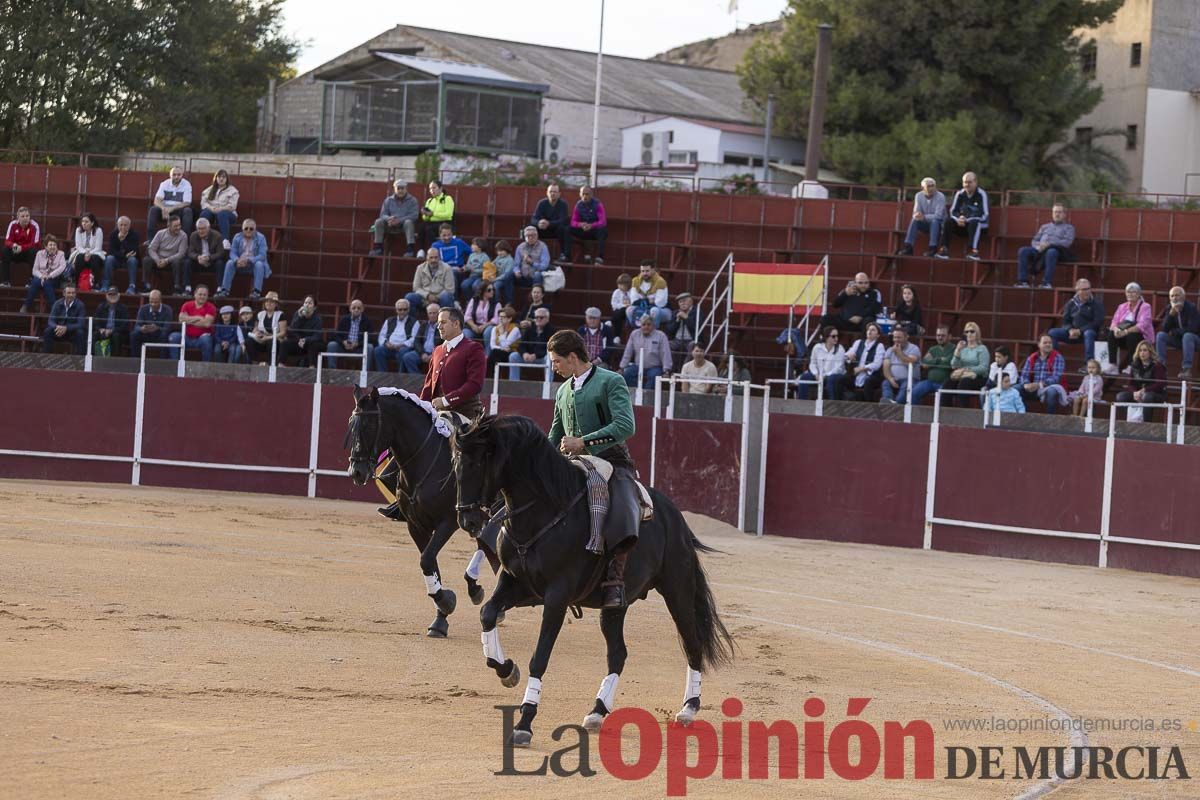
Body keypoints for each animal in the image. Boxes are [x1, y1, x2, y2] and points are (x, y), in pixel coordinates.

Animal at [345, 386, 499, 638]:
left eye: (369, 426)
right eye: (351, 424)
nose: (356, 472)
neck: (426, 461)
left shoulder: (449, 521)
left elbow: (426, 559)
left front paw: (446, 603)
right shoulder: (416, 525)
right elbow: (430, 564)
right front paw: (440, 617)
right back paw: (474, 587)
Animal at [451, 417, 729, 748]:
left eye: (479, 461)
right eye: (455, 462)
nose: (467, 520)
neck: (545, 511)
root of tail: (675, 517)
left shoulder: (556, 596)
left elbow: (539, 657)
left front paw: (524, 723)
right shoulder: (518, 584)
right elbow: (488, 613)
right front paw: (506, 670)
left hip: (678, 589)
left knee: (692, 642)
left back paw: (688, 708)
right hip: (616, 606)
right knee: (618, 653)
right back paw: (597, 711)